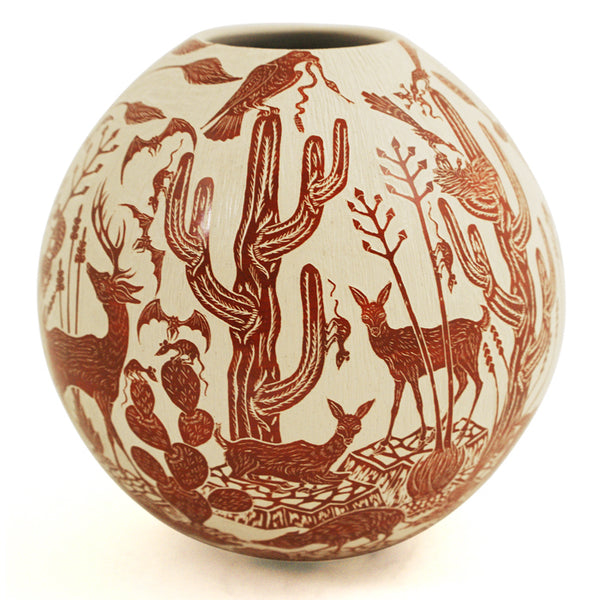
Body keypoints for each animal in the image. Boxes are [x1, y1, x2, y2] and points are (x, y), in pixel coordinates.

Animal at [45, 188, 142, 466]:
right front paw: (126, 464)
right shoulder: (100, 394)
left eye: (104, 283)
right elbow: (113, 436)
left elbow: (113, 436)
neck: (112, 355)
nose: (89, 267)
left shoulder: (108, 398)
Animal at [214, 398, 374, 486]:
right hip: (249, 462)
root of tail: (230, 444)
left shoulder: (326, 471)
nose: (348, 439)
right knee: (236, 476)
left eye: (357, 427)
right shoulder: (306, 472)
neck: (323, 456)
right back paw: (279, 483)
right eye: (340, 427)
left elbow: (340, 475)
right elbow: (329, 480)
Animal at [349, 282, 490, 447]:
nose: (375, 330)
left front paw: (421, 436)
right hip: (456, 363)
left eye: (382, 315)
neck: (391, 351)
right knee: (463, 382)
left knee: (479, 383)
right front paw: (385, 441)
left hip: (468, 356)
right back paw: (438, 431)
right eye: (364, 317)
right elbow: (394, 408)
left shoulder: (412, 372)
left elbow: (419, 402)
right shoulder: (398, 378)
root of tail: (478, 325)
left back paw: (460, 432)